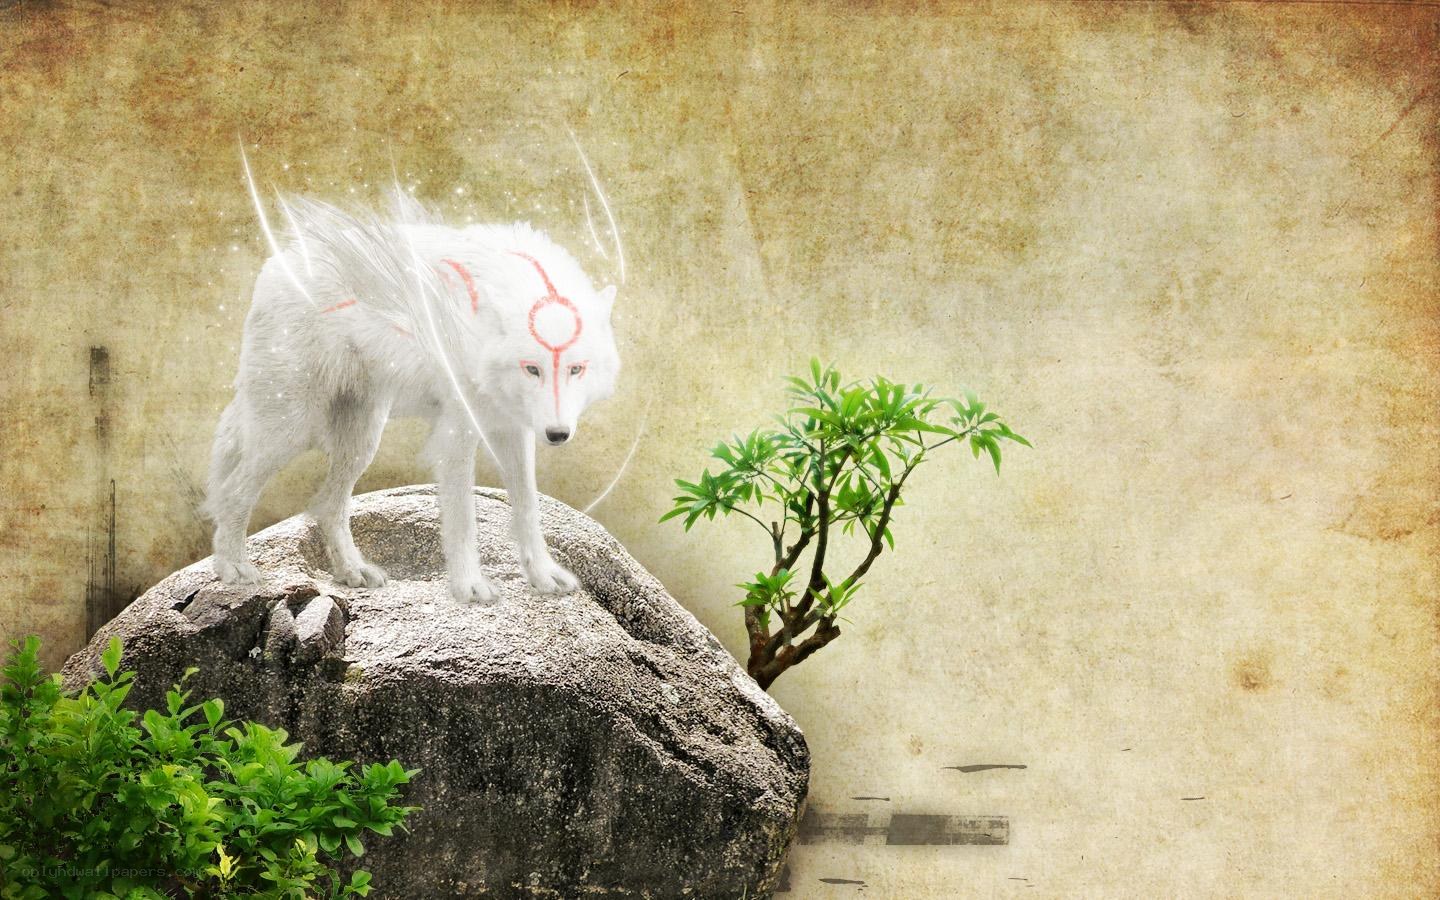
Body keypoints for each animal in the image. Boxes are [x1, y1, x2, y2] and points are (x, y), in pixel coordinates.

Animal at [201, 192, 620, 603]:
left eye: (576, 369)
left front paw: (543, 576)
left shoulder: (513, 429)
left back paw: (352, 571)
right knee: (233, 493)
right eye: (532, 368)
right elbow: (463, 517)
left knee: (327, 506)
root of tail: (276, 263)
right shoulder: (455, 435)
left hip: (361, 442)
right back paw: (233, 568)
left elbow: (528, 507)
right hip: (290, 431)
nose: (558, 435)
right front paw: (469, 587)